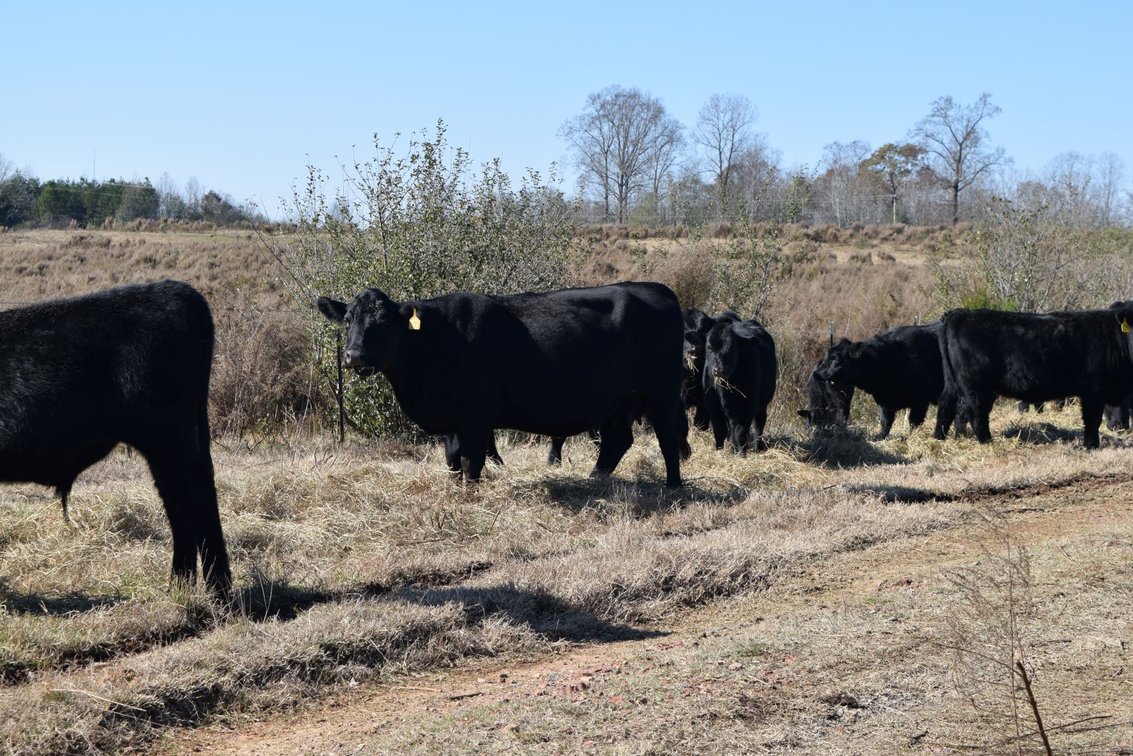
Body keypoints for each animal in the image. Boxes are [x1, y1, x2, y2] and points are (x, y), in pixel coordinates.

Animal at [0, 281, 231, 595]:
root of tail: (172, 289)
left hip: (169, 441)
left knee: (198, 503)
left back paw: (219, 595)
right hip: (167, 448)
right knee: (178, 507)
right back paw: (179, 589)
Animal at [317, 282, 687, 487]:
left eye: (382, 322)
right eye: (347, 321)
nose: (354, 355)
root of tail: (657, 289)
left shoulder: (477, 415)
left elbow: (471, 461)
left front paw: (471, 494)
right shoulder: (454, 417)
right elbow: (452, 459)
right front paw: (456, 491)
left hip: (663, 392)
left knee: (668, 439)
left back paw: (674, 486)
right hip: (619, 401)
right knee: (617, 440)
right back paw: (594, 480)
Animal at [701, 317, 777, 455]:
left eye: (732, 349)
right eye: (709, 348)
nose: (719, 370)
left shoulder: (748, 404)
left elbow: (741, 431)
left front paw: (741, 454)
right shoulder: (712, 403)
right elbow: (720, 430)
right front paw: (720, 450)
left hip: (761, 404)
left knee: (759, 423)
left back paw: (756, 447)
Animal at [813, 322, 947, 439]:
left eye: (834, 359)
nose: (816, 373)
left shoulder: (920, 400)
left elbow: (913, 421)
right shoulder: (883, 400)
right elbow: (885, 422)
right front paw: (879, 436)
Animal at [934, 305, 1133, 447]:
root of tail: (960, 313)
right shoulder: (1094, 390)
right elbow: (1093, 419)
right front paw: (1091, 446)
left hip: (953, 383)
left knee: (947, 407)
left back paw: (939, 439)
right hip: (977, 387)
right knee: (976, 414)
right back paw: (987, 443)